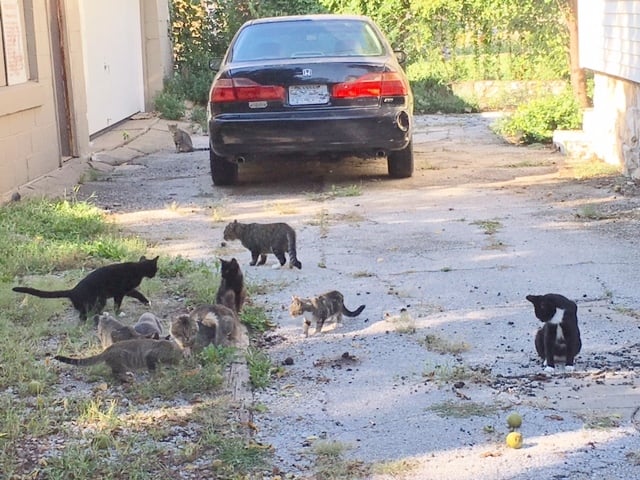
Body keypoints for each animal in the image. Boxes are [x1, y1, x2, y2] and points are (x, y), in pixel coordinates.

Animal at [12, 255, 159, 322]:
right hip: (100, 299)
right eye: (156, 268)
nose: (156, 273)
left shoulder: (127, 290)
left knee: (85, 313)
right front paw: (118, 313)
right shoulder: (121, 291)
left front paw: (146, 302)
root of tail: (73, 291)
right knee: (86, 314)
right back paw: (100, 316)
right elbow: (119, 303)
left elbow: (137, 294)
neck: (138, 269)